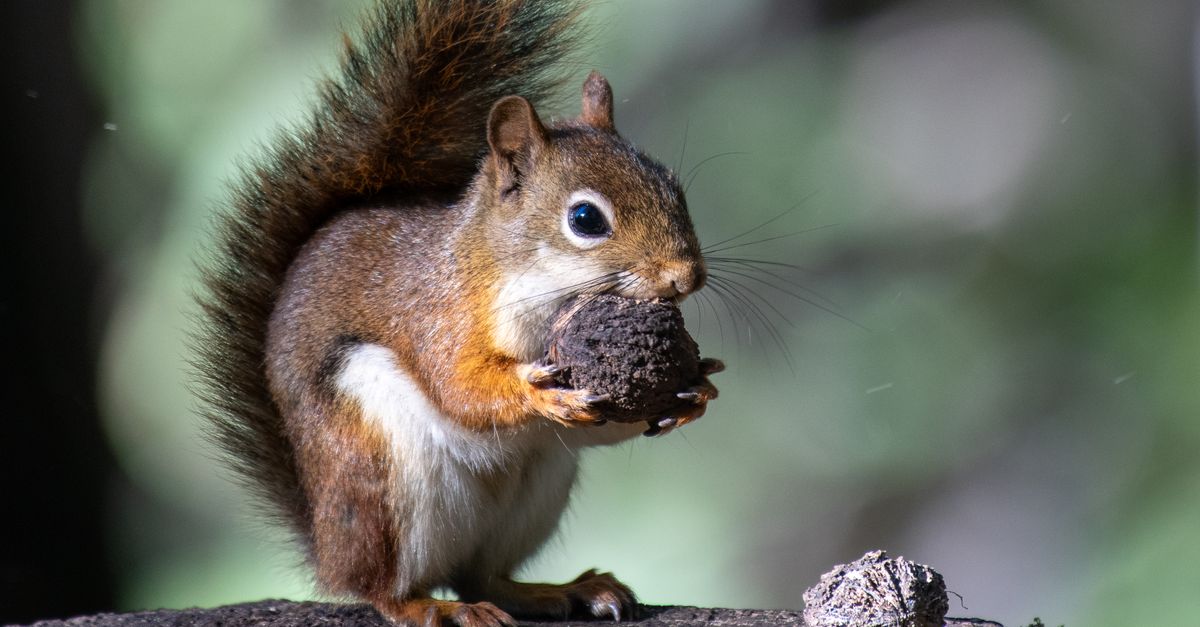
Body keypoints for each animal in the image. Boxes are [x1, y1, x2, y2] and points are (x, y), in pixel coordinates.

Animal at [194, 1, 721, 626]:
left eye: (673, 185)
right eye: (586, 219)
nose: (686, 276)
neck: (531, 285)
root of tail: (326, 547)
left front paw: (699, 389)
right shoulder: (435, 313)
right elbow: (458, 386)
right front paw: (536, 394)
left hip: (536, 487)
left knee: (484, 576)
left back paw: (566, 590)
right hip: (380, 481)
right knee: (384, 587)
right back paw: (428, 605)